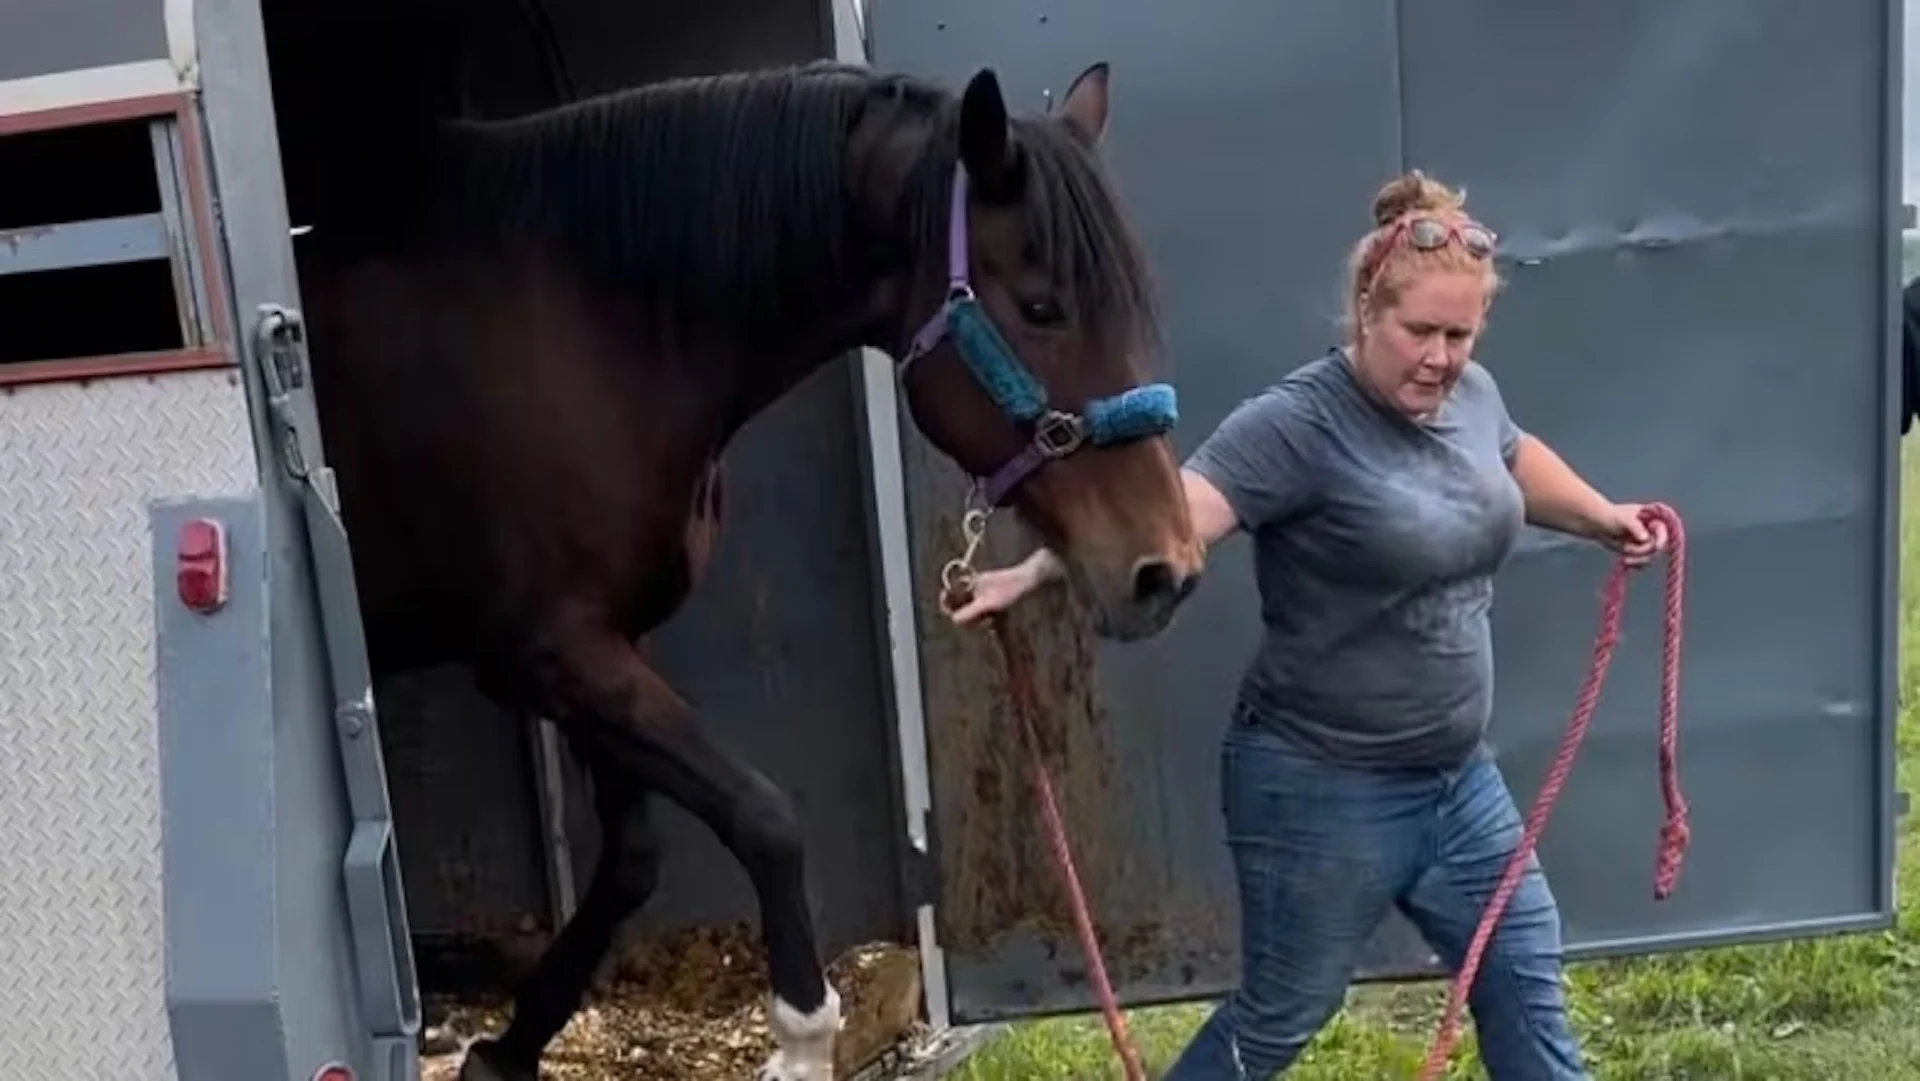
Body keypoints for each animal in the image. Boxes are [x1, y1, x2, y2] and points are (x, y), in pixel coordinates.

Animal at [291, 59, 1198, 1081]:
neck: (575, 324)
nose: (1164, 569)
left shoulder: (597, 647)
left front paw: (505, 1048)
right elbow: (764, 816)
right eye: (1042, 307)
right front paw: (800, 1038)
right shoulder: (546, 651)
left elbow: (634, 861)